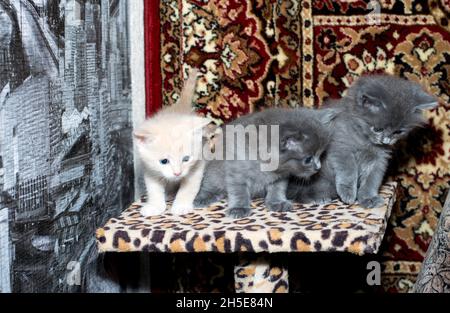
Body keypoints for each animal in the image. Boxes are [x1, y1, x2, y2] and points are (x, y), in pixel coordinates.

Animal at [134, 68, 213, 214]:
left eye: (186, 159)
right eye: (164, 161)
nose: (177, 173)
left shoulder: (197, 164)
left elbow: (189, 187)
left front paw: (181, 205)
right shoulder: (149, 168)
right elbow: (153, 188)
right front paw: (155, 206)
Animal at [193, 108, 330, 218]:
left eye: (320, 155)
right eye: (308, 159)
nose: (318, 167)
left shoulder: (280, 177)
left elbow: (277, 189)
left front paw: (277, 202)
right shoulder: (236, 172)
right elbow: (239, 192)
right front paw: (239, 208)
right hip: (213, 172)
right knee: (209, 184)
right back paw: (202, 198)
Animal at [286, 74, 438, 207]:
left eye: (398, 132)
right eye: (378, 129)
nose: (386, 141)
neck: (365, 140)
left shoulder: (379, 159)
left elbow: (372, 180)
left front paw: (368, 198)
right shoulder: (341, 148)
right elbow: (349, 171)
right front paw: (348, 193)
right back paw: (319, 197)